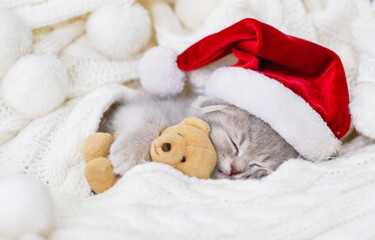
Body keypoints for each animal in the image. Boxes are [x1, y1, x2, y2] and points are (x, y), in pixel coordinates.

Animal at [102, 95, 300, 180]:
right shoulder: (136, 107)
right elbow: (153, 118)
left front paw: (256, 176)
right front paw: (129, 153)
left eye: (258, 164)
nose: (235, 170)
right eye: (234, 143)